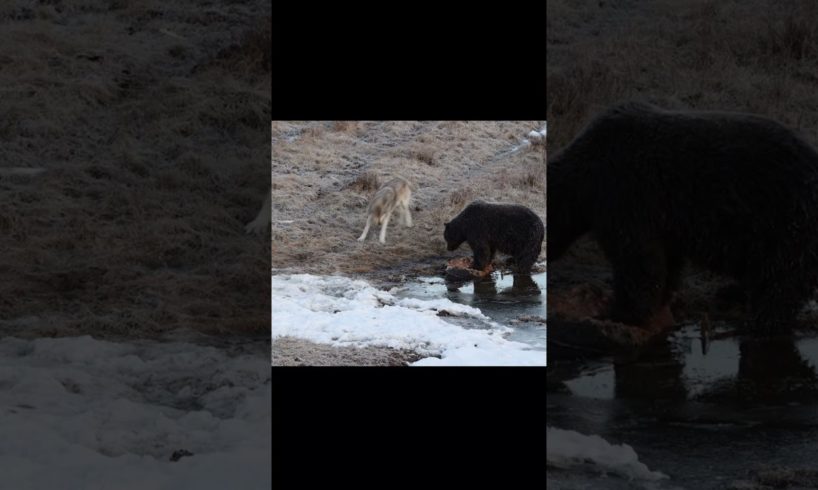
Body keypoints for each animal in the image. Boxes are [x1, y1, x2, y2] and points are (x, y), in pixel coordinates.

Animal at [544, 103, 818, 334]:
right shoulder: (660, 216)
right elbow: (665, 260)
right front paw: (660, 299)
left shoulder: (626, 191)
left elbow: (636, 258)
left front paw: (618, 312)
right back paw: (733, 292)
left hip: (782, 217)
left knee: (778, 281)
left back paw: (758, 321)